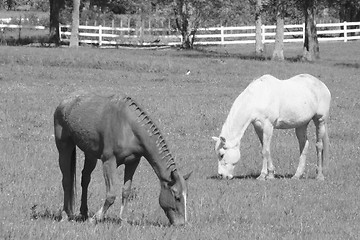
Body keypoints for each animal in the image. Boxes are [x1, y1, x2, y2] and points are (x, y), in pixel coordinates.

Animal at [53, 90, 191, 225]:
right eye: (177, 197)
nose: (181, 223)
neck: (128, 126)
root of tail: (63, 103)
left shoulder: (133, 162)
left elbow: (126, 191)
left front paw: (121, 219)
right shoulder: (109, 162)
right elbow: (111, 194)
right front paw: (96, 218)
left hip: (90, 154)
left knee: (85, 179)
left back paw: (83, 213)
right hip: (64, 148)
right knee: (66, 180)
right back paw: (65, 215)